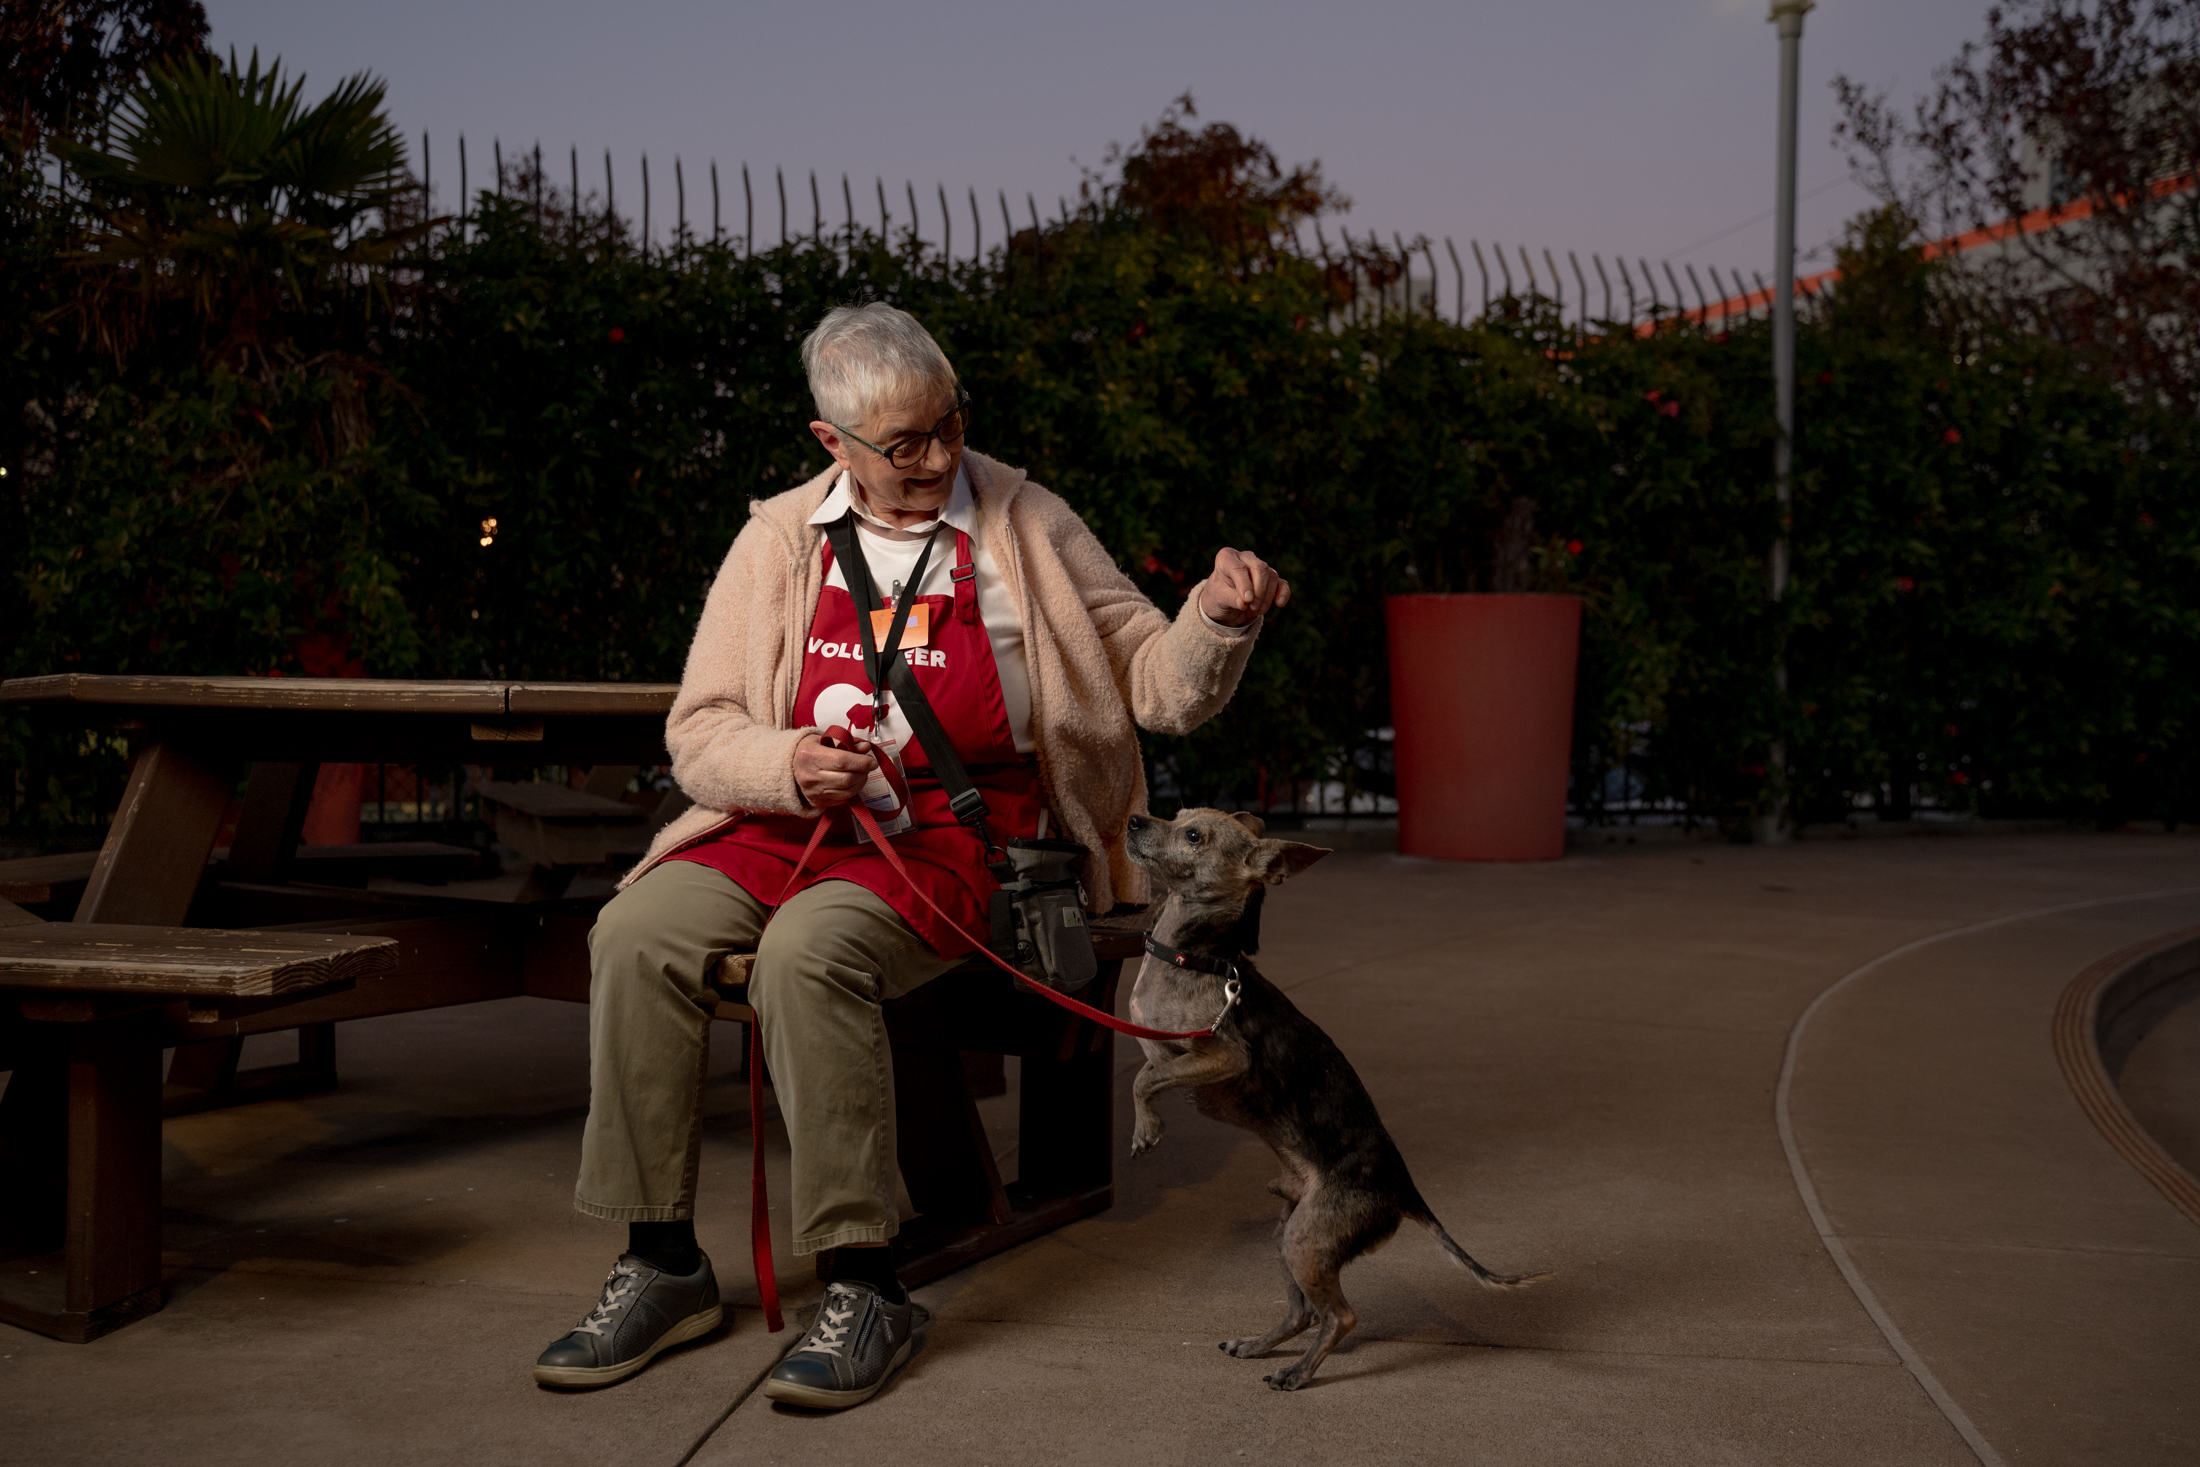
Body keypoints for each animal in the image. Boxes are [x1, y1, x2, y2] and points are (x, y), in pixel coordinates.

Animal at [1126, 809, 1557, 1398]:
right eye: (1176, 815)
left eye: (1194, 836)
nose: (1134, 819)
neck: (1195, 956)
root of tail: (1403, 1189)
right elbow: (1147, 1071)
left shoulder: (1224, 1055)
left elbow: (1145, 1079)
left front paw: (1146, 1128)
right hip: (1289, 1235)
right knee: (1305, 1312)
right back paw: (1260, 1346)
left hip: (1305, 1241)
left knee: (1340, 1317)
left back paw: (1296, 1373)